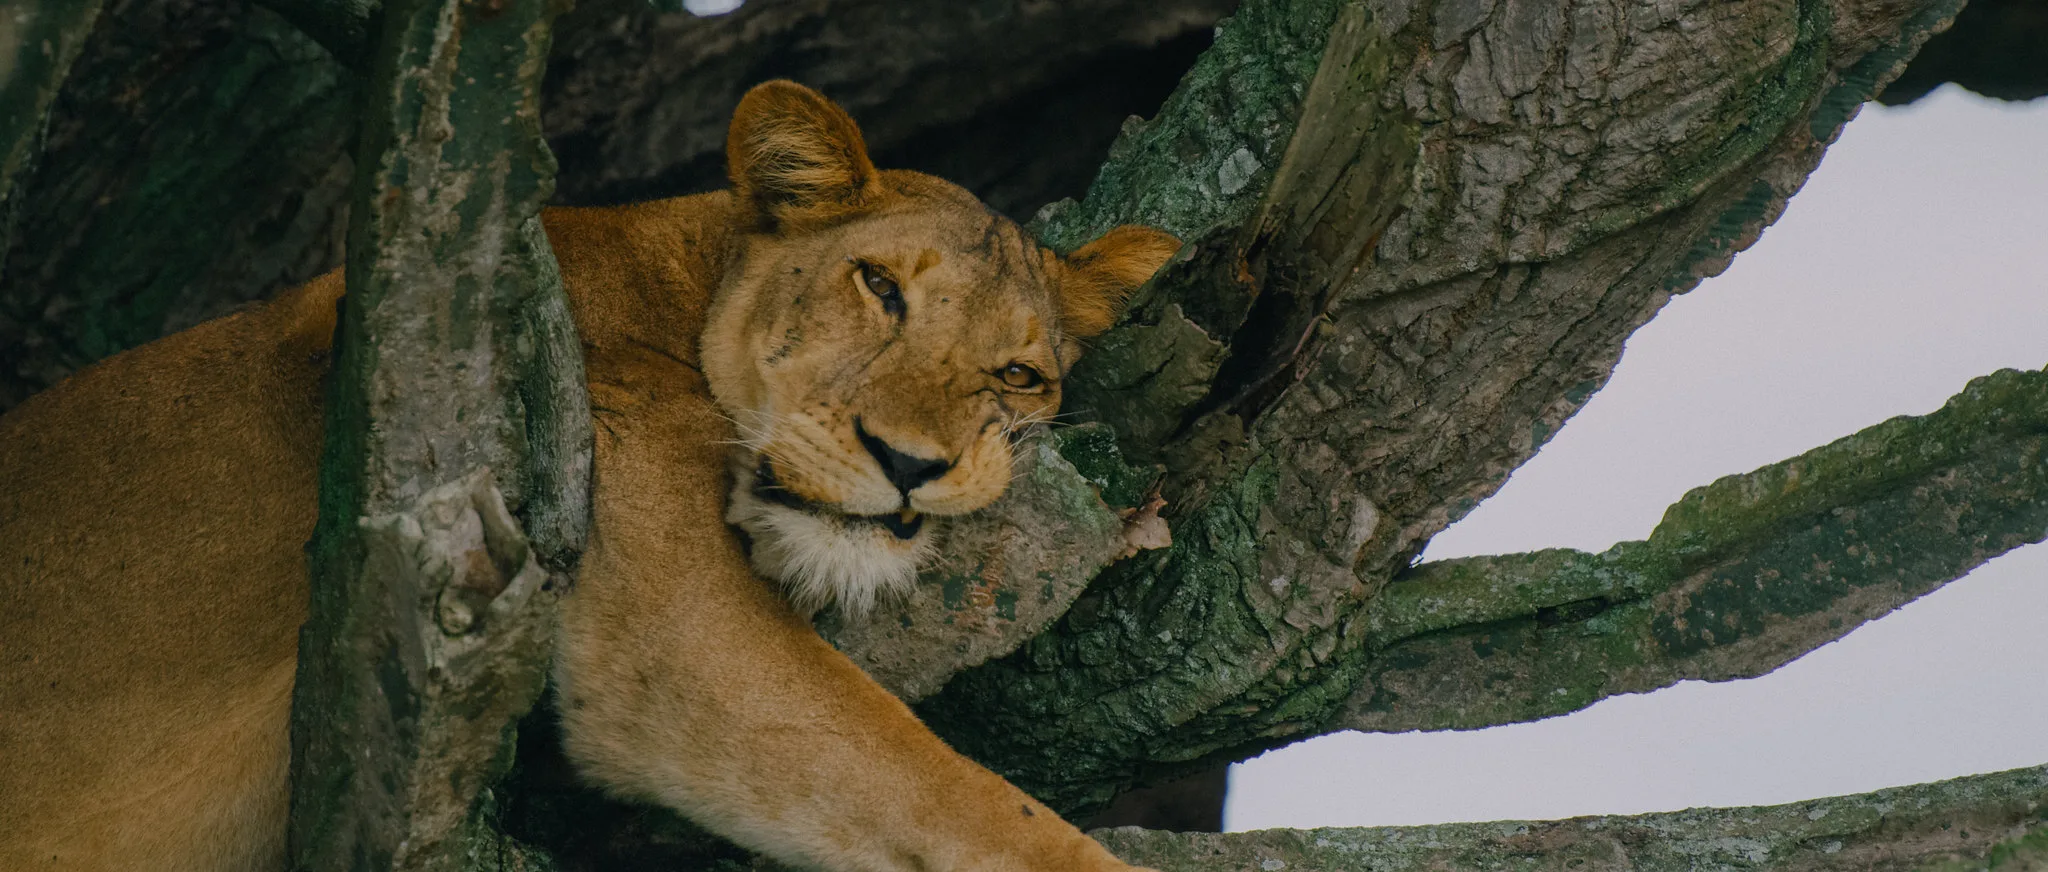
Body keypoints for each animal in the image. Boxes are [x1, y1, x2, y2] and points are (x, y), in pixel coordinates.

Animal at [0, 81, 1178, 872]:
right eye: (880, 287)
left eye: (1019, 374)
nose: (910, 463)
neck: (682, 285)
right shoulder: (677, 633)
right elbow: (956, 796)